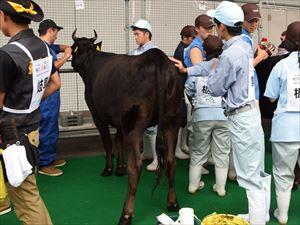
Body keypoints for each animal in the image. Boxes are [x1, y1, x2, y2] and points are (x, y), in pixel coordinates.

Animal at [71, 30, 183, 225]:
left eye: (74, 49)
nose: (73, 62)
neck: (91, 61)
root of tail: (156, 56)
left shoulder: (98, 116)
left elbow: (108, 143)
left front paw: (109, 169)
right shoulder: (120, 122)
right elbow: (119, 141)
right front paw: (120, 168)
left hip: (134, 124)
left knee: (136, 166)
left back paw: (126, 214)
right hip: (172, 120)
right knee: (170, 160)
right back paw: (172, 202)